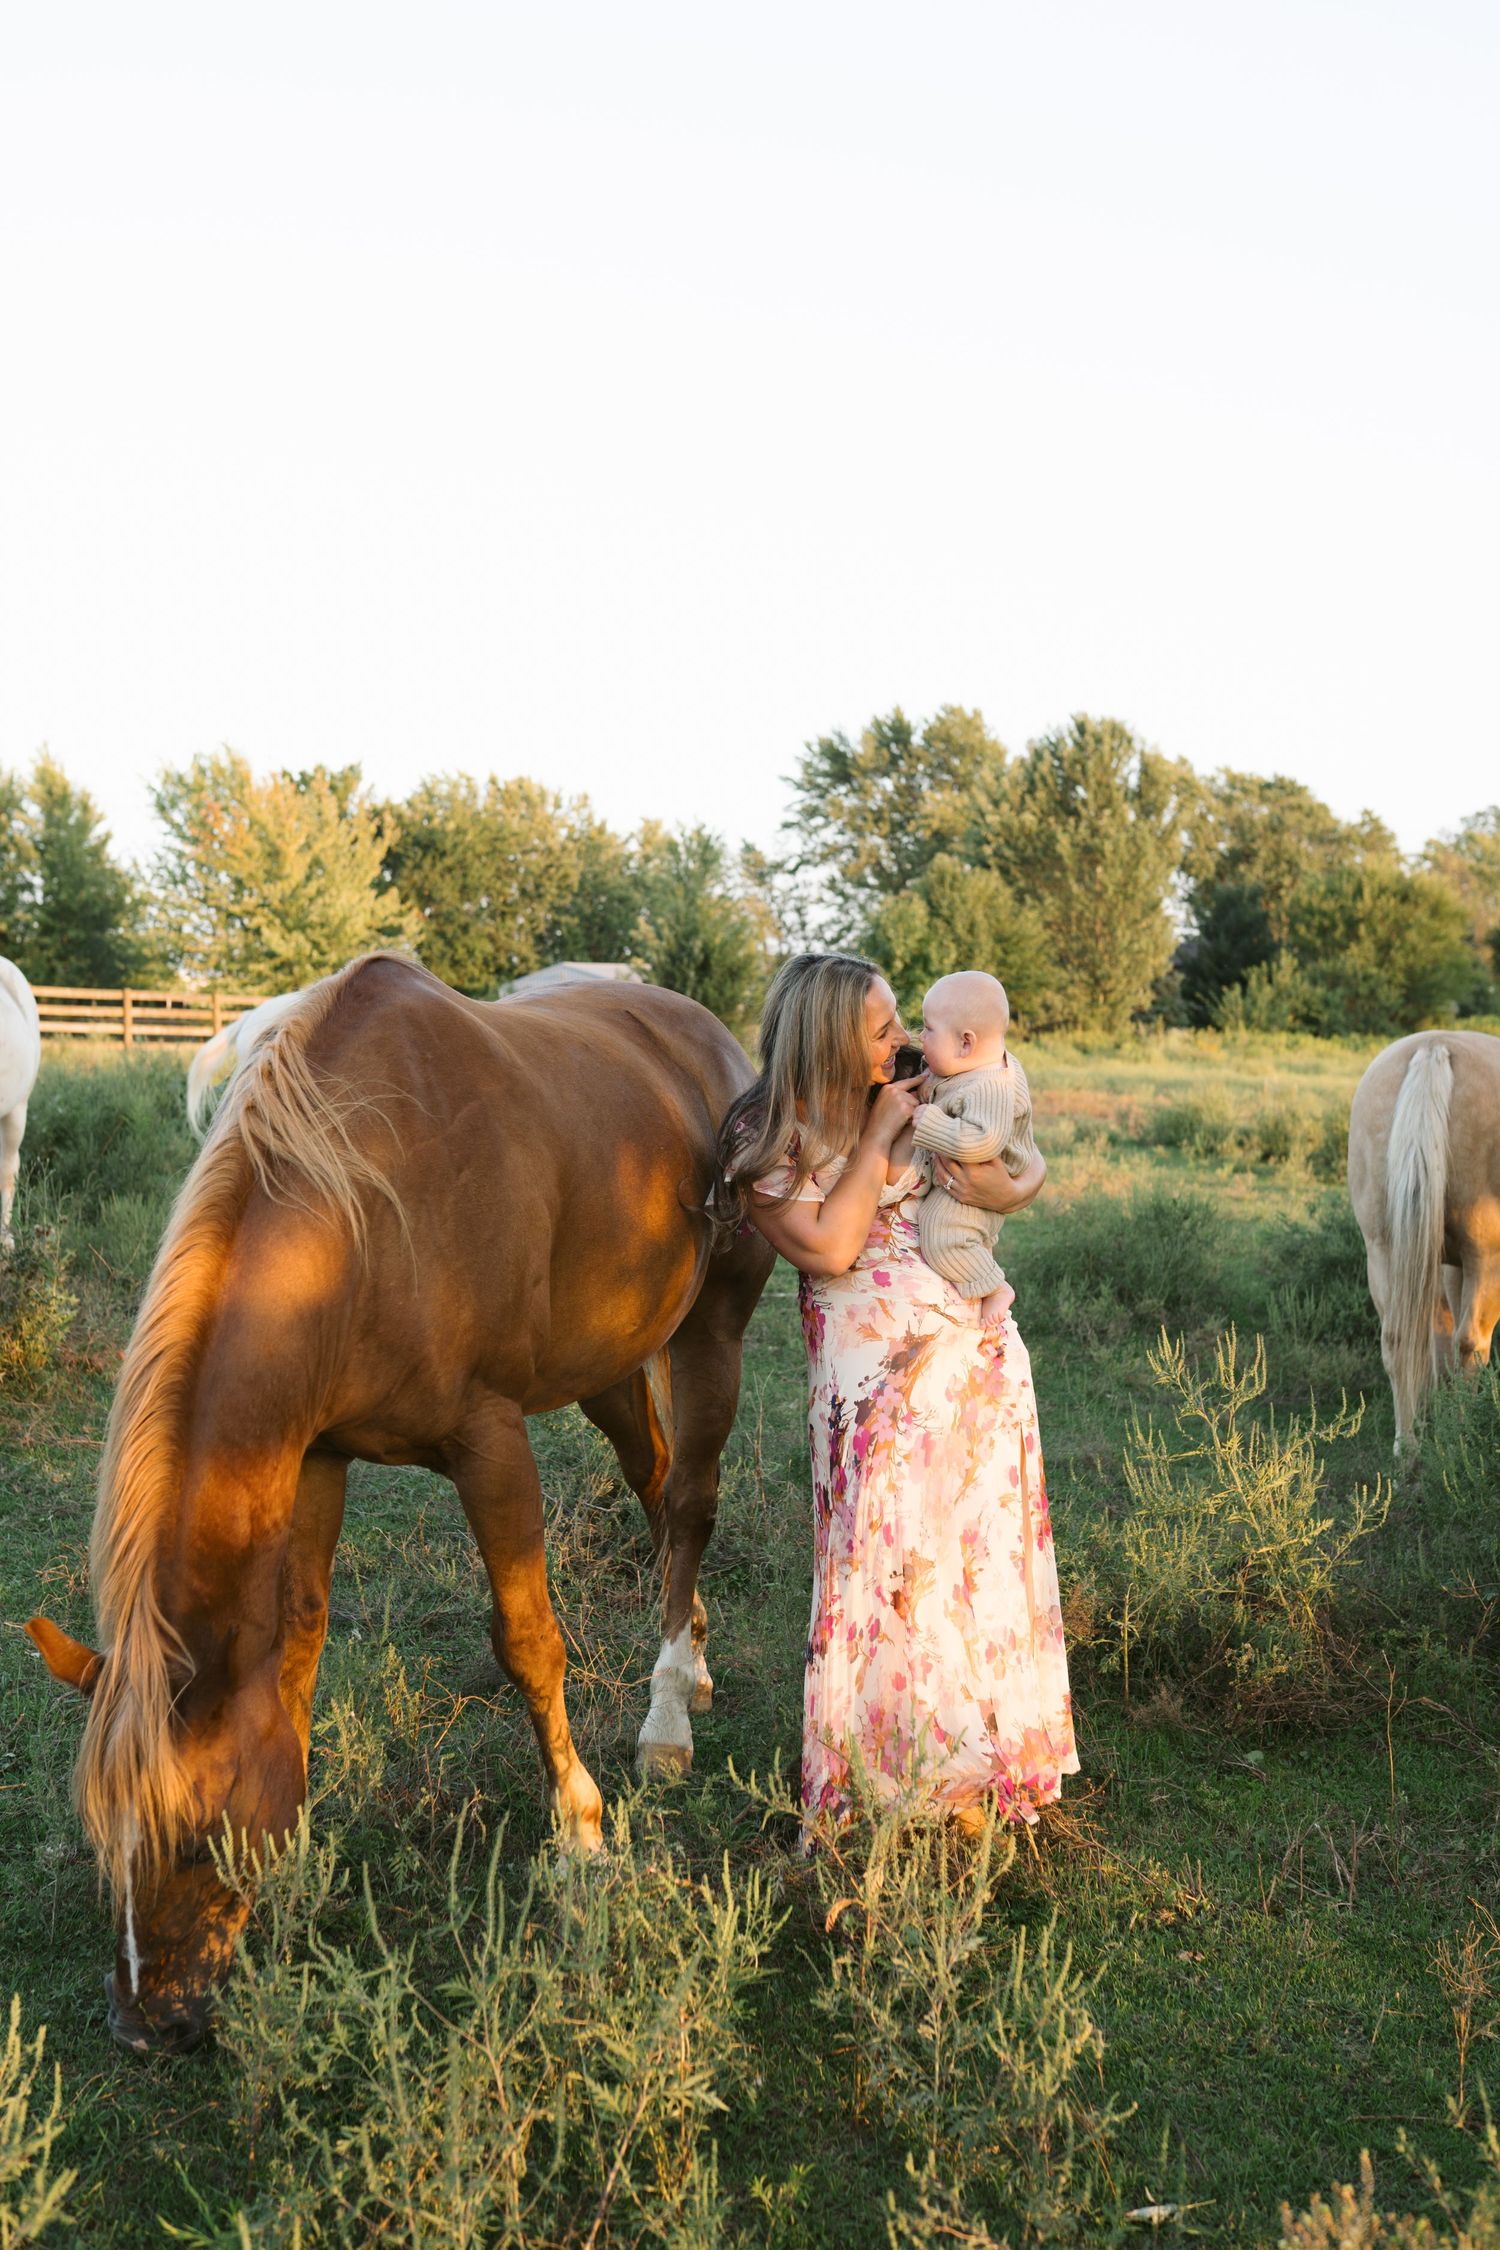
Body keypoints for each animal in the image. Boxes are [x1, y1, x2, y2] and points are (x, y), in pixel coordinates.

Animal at [26, 953, 773, 2052]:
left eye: (198, 1831)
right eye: (100, 1837)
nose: (144, 2025)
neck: (365, 1210)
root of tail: (706, 1034)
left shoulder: (490, 1443)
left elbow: (528, 1643)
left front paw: (582, 1834)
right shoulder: (318, 1457)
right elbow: (296, 1646)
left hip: (711, 1328)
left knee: (690, 1502)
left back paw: (669, 1712)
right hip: (609, 1364)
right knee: (656, 1486)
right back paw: (699, 1659)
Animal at [1347, 1027, 1500, 1451]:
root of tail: (1434, 1047)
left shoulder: (1447, 1263)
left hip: (1384, 1251)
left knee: (1400, 1339)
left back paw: (1410, 1447)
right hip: (1487, 1257)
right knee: (1471, 1344)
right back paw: (1463, 1435)